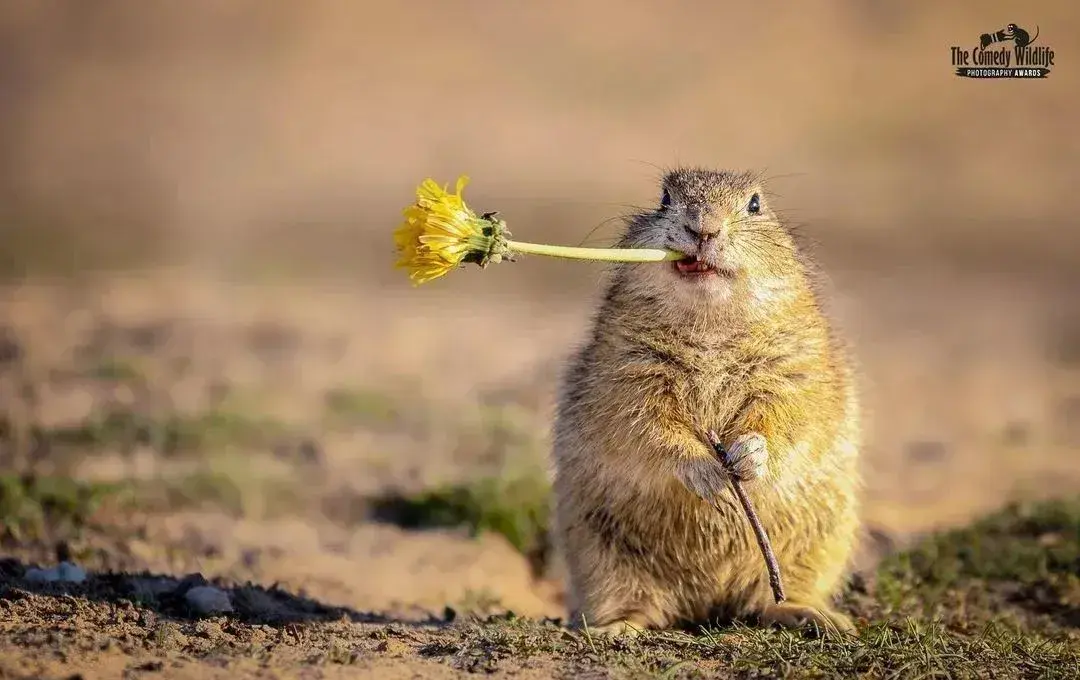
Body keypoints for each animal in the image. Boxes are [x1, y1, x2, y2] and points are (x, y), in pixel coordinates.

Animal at [548, 168, 859, 638]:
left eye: (755, 204)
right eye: (663, 197)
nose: (704, 228)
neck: (709, 323)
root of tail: (708, 601)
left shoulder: (795, 368)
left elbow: (787, 415)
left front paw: (748, 453)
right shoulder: (627, 372)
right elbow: (647, 425)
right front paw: (708, 473)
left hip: (818, 544)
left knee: (769, 602)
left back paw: (816, 615)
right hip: (598, 554)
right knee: (635, 605)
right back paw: (616, 627)